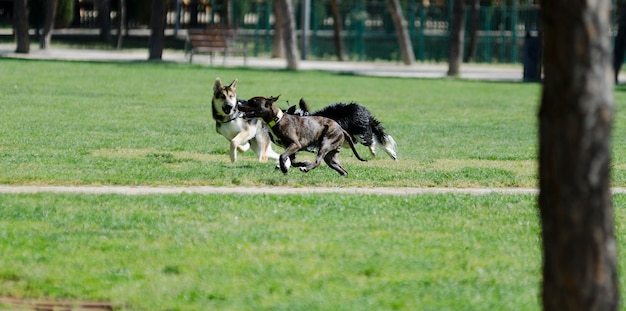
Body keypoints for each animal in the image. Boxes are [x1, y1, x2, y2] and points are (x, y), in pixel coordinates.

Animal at [238, 95, 366, 177]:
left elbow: (282, 156)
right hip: (331, 156)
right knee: (342, 169)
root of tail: (341, 129)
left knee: (318, 161)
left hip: (326, 144)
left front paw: (285, 168)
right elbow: (292, 161)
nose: (238, 105)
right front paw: (303, 163)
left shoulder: (295, 144)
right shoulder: (291, 148)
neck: (277, 120)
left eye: (253, 102)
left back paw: (306, 169)